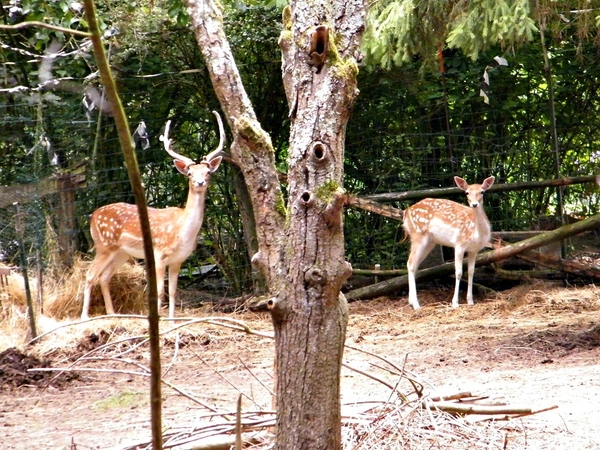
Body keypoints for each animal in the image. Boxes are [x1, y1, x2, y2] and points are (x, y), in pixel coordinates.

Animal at [82, 110, 225, 318]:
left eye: (207, 172)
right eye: (190, 174)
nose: (200, 183)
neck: (182, 231)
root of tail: (92, 216)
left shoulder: (178, 260)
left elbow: (172, 291)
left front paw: (172, 320)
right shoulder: (159, 255)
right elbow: (159, 291)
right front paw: (159, 318)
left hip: (121, 252)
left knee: (104, 276)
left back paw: (112, 314)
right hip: (104, 245)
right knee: (90, 275)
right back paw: (85, 316)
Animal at [404, 176, 496, 310]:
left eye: (482, 192)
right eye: (467, 192)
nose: (474, 204)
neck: (476, 233)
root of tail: (406, 212)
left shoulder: (474, 250)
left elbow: (471, 272)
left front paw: (470, 301)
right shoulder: (459, 244)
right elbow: (458, 272)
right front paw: (455, 303)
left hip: (429, 242)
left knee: (414, 265)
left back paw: (411, 302)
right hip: (418, 235)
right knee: (410, 263)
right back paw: (416, 304)